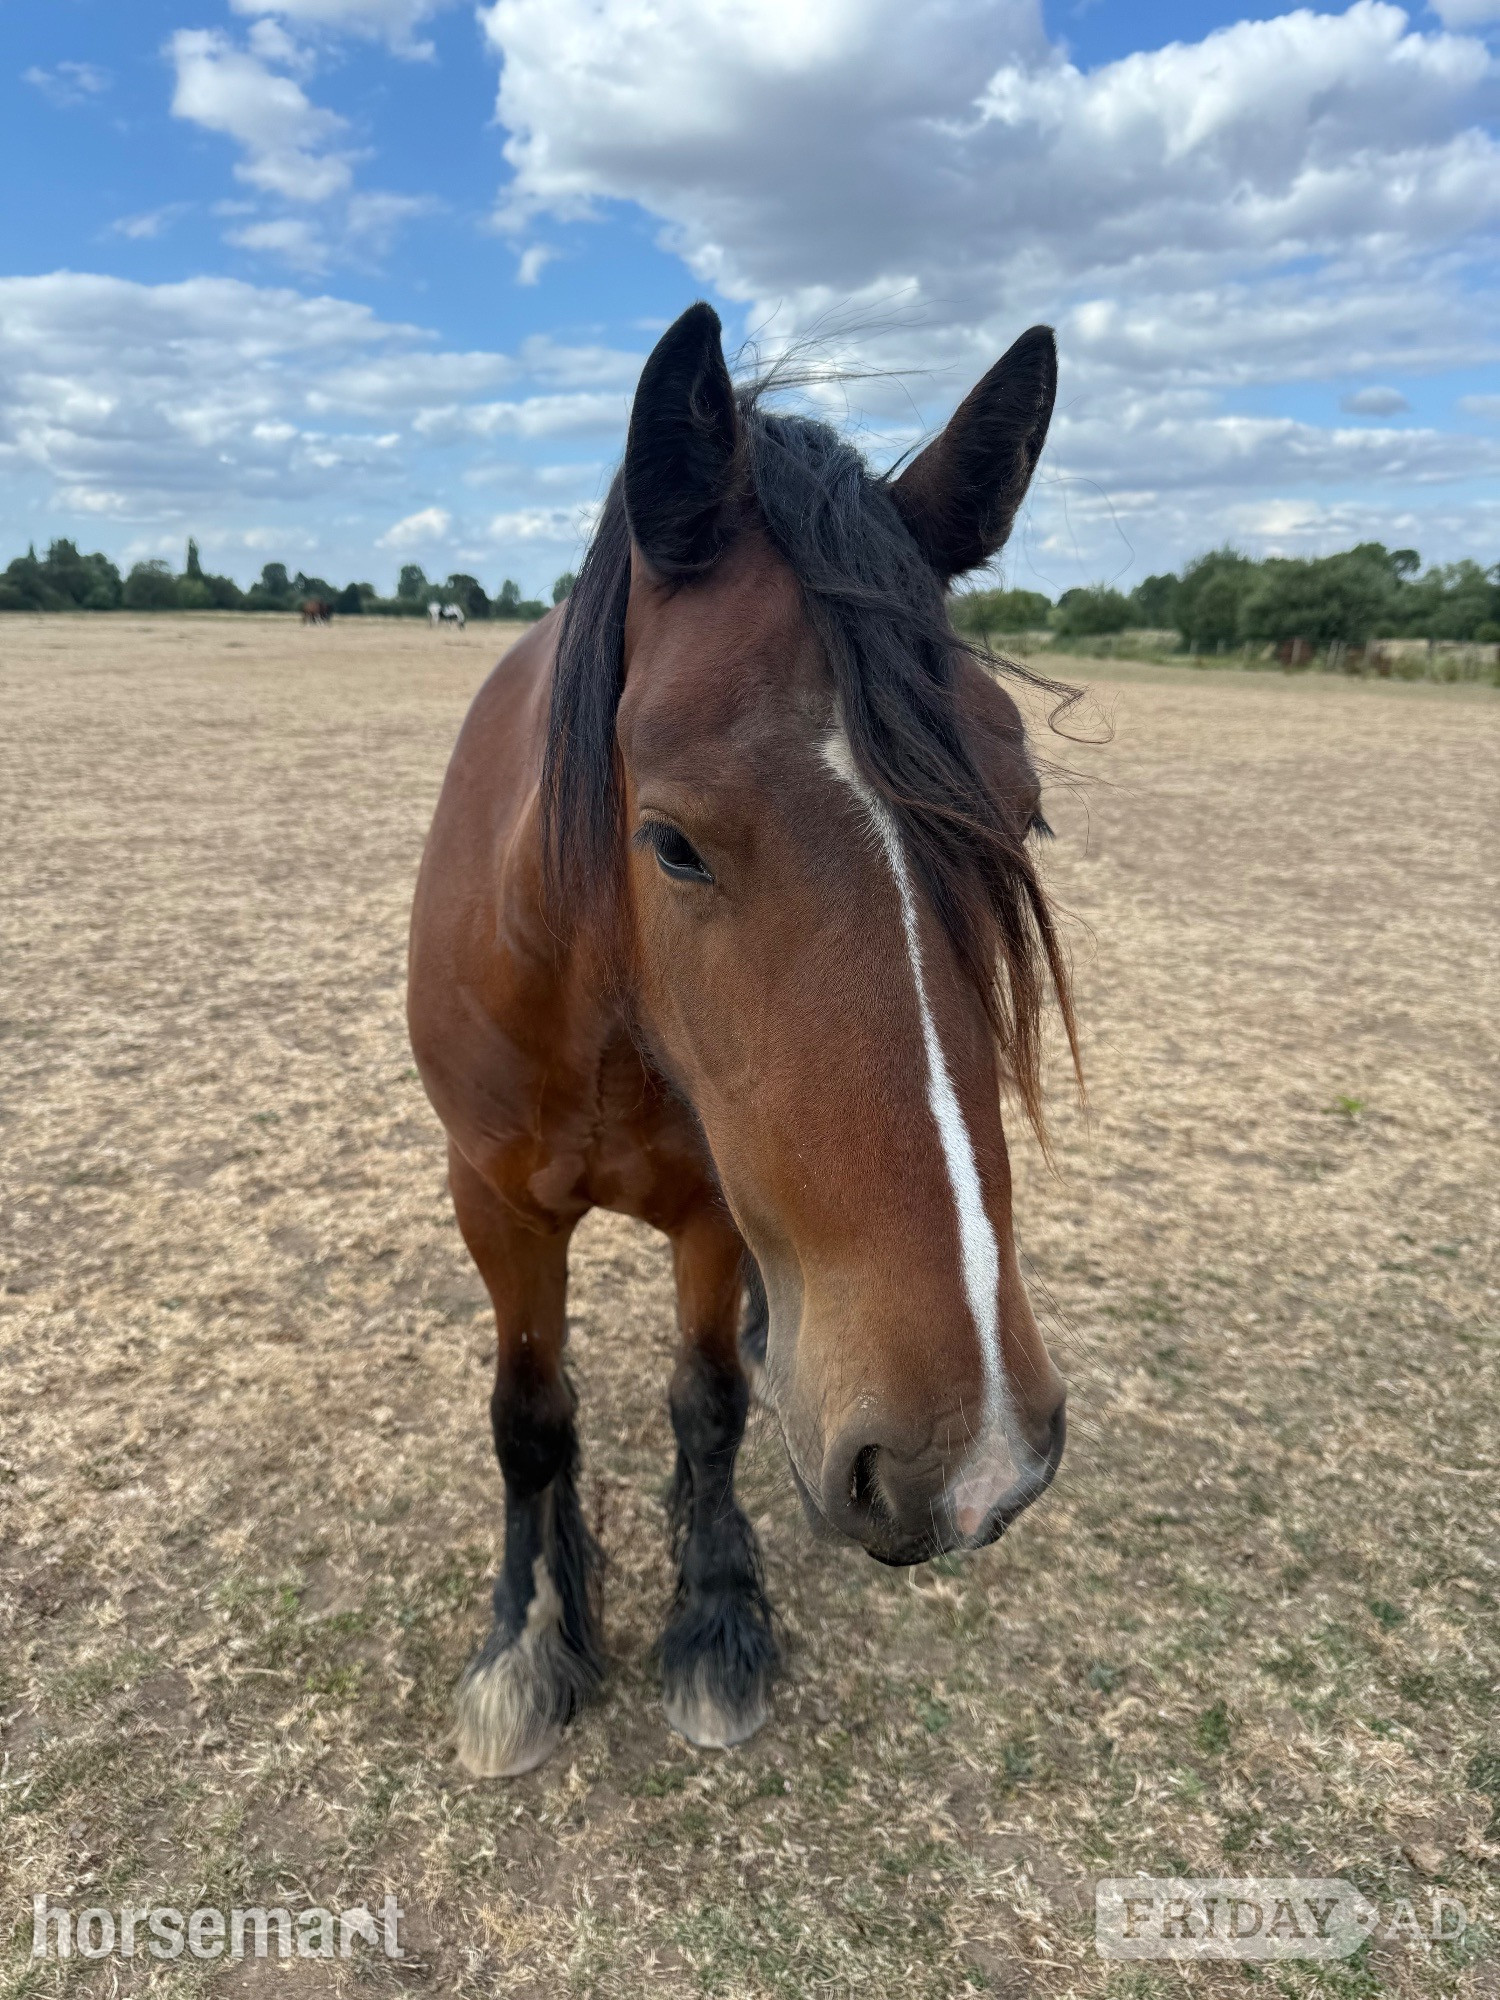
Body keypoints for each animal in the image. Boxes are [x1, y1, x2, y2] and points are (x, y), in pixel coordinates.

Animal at [408, 302, 1078, 1778]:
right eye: (670, 841)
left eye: (1025, 814)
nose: (977, 1461)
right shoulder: (491, 1199)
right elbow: (527, 1418)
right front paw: (526, 1641)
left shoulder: (718, 1211)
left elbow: (705, 1404)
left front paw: (714, 1620)